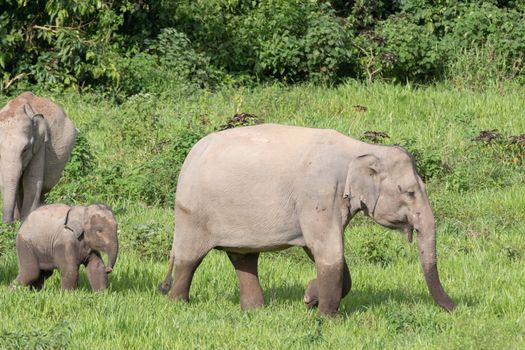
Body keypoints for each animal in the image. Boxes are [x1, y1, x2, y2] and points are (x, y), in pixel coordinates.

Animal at [0, 91, 76, 223]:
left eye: (25, 149)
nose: (7, 224)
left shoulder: (40, 145)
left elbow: (32, 182)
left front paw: (23, 223)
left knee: (43, 188)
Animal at [159, 124, 454, 316]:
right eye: (410, 192)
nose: (454, 308)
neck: (362, 149)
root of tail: (191, 153)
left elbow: (322, 252)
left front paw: (311, 298)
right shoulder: (319, 193)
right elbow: (328, 250)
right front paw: (325, 316)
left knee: (244, 258)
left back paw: (254, 311)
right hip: (192, 212)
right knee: (189, 259)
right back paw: (178, 306)